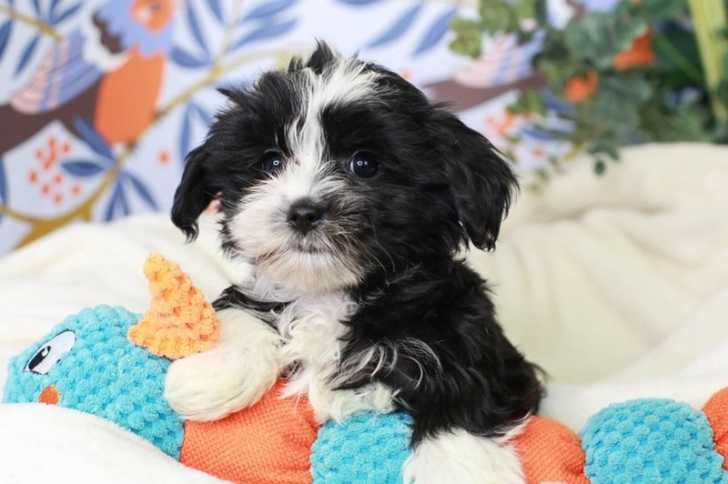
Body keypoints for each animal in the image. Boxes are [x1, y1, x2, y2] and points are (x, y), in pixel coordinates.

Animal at [167, 42, 543, 483]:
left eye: (364, 164)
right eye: (270, 163)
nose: (303, 212)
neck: (331, 294)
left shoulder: (477, 341)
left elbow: (468, 394)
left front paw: (459, 468)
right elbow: (244, 307)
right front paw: (214, 371)